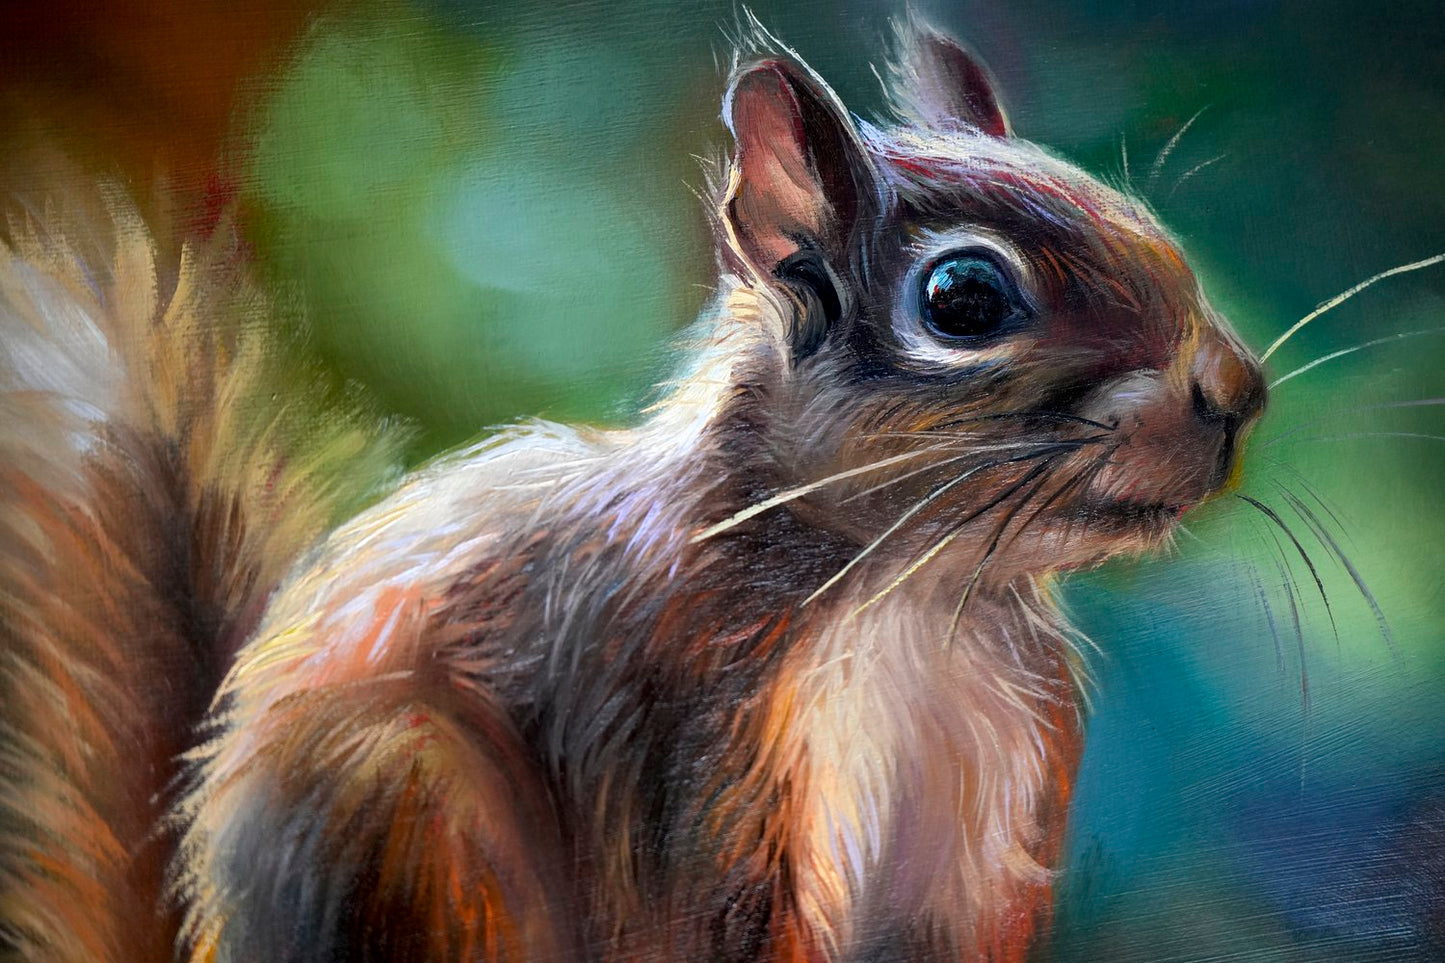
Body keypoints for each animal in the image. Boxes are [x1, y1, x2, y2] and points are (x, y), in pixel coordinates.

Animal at [0, 19, 1266, 963]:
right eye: (963, 299)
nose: (1237, 391)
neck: (918, 595)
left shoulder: (984, 845)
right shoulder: (682, 742)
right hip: (415, 819)